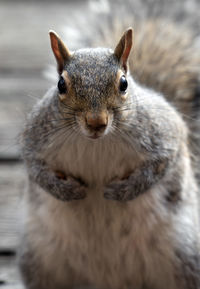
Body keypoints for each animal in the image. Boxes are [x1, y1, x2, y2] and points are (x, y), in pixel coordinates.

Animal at [18, 18, 200, 288]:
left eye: (123, 83)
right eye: (61, 84)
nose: (96, 122)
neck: (97, 142)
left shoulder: (165, 133)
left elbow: (159, 165)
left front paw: (123, 191)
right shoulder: (35, 137)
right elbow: (34, 166)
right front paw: (65, 190)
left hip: (186, 256)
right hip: (41, 260)